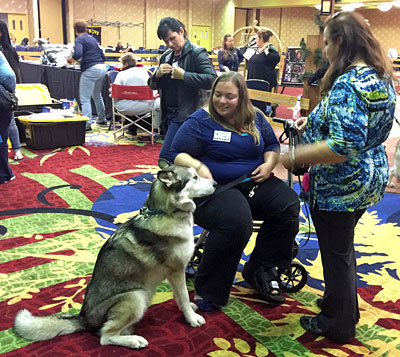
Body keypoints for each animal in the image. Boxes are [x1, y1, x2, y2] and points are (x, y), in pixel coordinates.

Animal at [14, 161, 216, 348]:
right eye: (195, 177)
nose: (215, 183)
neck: (165, 213)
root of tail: (84, 319)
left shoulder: (174, 273)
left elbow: (179, 296)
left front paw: (188, 308)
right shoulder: (177, 270)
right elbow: (184, 295)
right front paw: (192, 318)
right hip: (136, 296)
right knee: (105, 336)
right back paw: (134, 341)